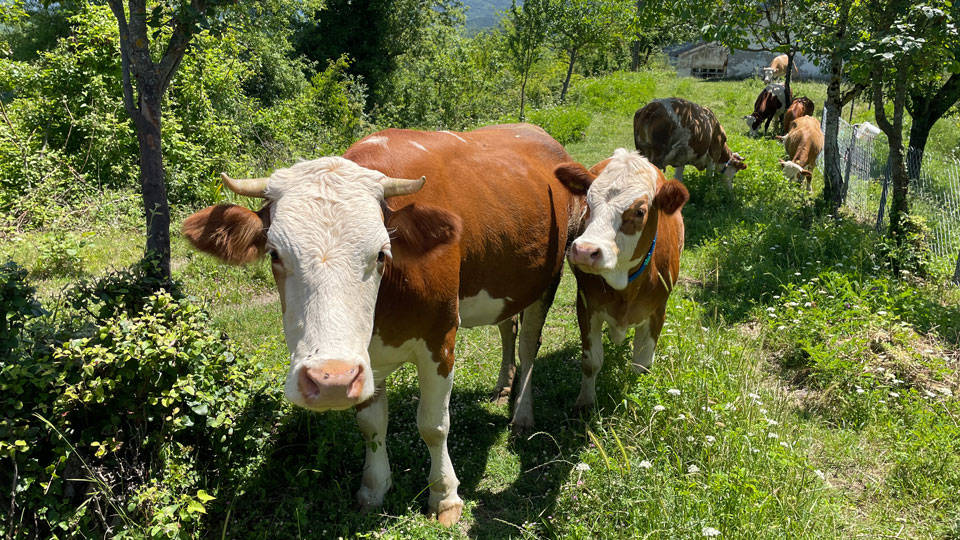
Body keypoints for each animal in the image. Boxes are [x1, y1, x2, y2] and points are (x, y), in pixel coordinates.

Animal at [182, 123, 584, 528]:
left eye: (380, 253)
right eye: (275, 253)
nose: (328, 380)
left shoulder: (441, 339)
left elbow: (434, 424)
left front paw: (444, 497)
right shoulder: (364, 359)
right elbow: (372, 424)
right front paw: (374, 488)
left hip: (547, 277)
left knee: (529, 344)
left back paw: (522, 413)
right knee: (507, 327)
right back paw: (504, 386)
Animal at [506, 150, 688, 412]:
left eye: (639, 211)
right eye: (588, 202)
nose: (584, 251)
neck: (625, 286)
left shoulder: (657, 311)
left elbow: (641, 365)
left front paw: (637, 399)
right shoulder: (586, 306)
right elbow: (591, 361)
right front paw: (585, 402)